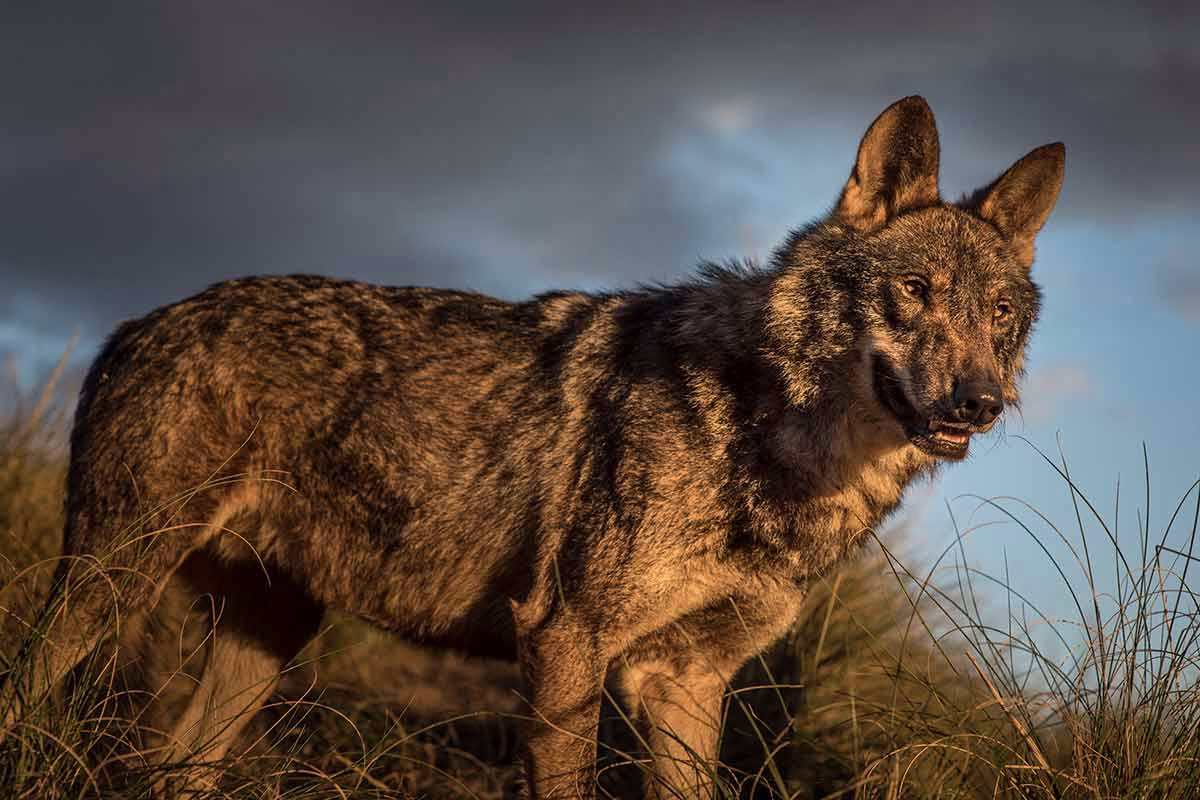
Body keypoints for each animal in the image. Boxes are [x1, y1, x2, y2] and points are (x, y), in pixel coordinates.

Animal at [2, 96, 1063, 797]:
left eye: (1000, 314)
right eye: (915, 292)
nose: (981, 401)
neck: (762, 434)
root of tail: (142, 321)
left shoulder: (684, 681)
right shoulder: (563, 639)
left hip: (263, 641)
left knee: (169, 770)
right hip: (108, 584)